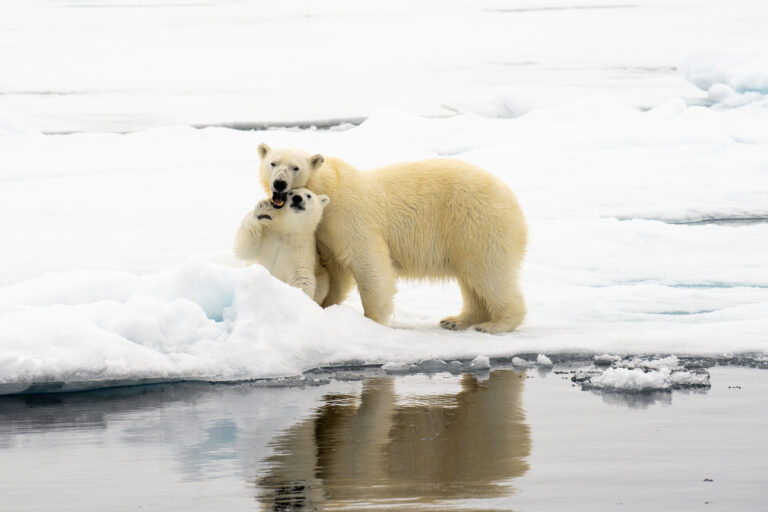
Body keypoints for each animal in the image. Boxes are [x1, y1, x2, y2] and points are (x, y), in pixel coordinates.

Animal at [258, 142, 528, 334]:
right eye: (272, 163)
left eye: (295, 167)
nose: (279, 184)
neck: (330, 185)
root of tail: (513, 200)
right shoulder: (326, 233)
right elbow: (335, 270)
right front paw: (324, 307)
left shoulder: (350, 217)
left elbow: (369, 264)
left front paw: (373, 320)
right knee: (471, 278)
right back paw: (456, 320)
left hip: (476, 223)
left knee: (488, 271)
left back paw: (496, 324)